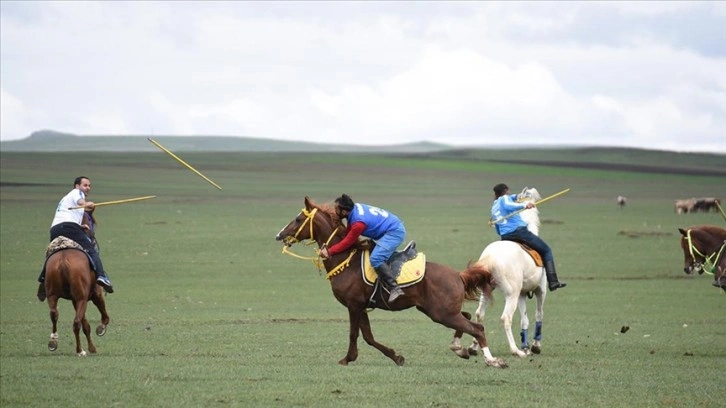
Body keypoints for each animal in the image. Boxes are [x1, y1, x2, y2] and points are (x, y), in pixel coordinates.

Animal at [43, 210, 109, 354]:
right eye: (91, 221)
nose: (93, 237)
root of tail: (63, 260)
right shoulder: (95, 294)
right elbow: (103, 315)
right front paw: (101, 328)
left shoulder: (75, 299)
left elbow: (86, 325)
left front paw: (92, 348)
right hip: (81, 298)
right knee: (76, 322)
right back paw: (79, 350)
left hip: (53, 294)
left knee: (54, 314)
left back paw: (53, 341)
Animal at [276, 196, 510, 368]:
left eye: (298, 219)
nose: (279, 234)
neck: (345, 260)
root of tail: (458, 275)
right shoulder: (362, 306)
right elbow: (368, 336)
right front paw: (396, 357)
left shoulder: (354, 305)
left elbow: (355, 334)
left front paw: (347, 359)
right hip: (438, 310)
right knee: (470, 319)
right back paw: (459, 348)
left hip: (442, 313)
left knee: (477, 328)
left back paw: (493, 361)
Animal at [466, 187, 544, 356]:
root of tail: (489, 258)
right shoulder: (541, 289)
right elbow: (538, 314)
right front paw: (535, 346)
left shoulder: (523, 293)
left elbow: (524, 319)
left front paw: (526, 346)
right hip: (511, 294)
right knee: (506, 318)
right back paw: (515, 350)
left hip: (487, 290)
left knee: (479, 314)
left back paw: (474, 347)